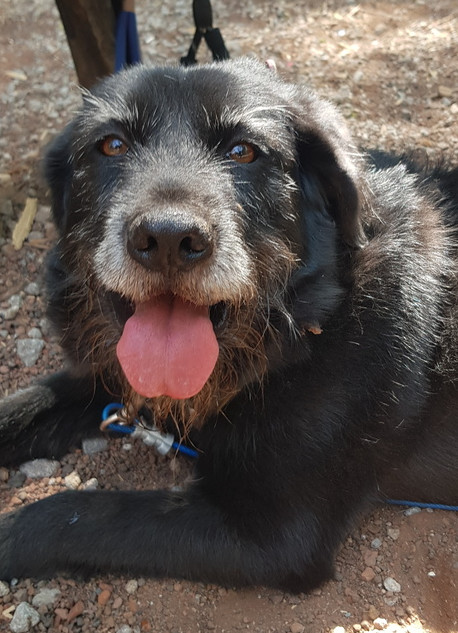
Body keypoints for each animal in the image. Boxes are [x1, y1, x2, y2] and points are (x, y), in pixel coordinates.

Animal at [0, 60, 458, 592]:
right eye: (111, 144)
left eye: (244, 151)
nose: (169, 239)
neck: (309, 328)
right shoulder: (115, 380)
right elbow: (31, 403)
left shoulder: (273, 534)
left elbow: (80, 514)